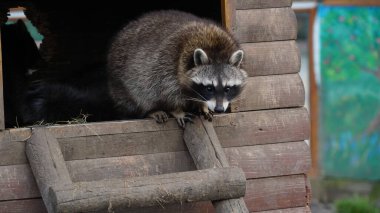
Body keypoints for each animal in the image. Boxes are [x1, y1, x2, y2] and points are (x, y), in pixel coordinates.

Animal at [107, 10, 248, 128]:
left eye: (227, 89)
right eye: (209, 88)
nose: (219, 109)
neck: (214, 47)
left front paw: (202, 105)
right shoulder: (167, 62)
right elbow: (165, 91)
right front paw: (177, 110)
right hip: (120, 81)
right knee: (139, 94)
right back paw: (150, 110)